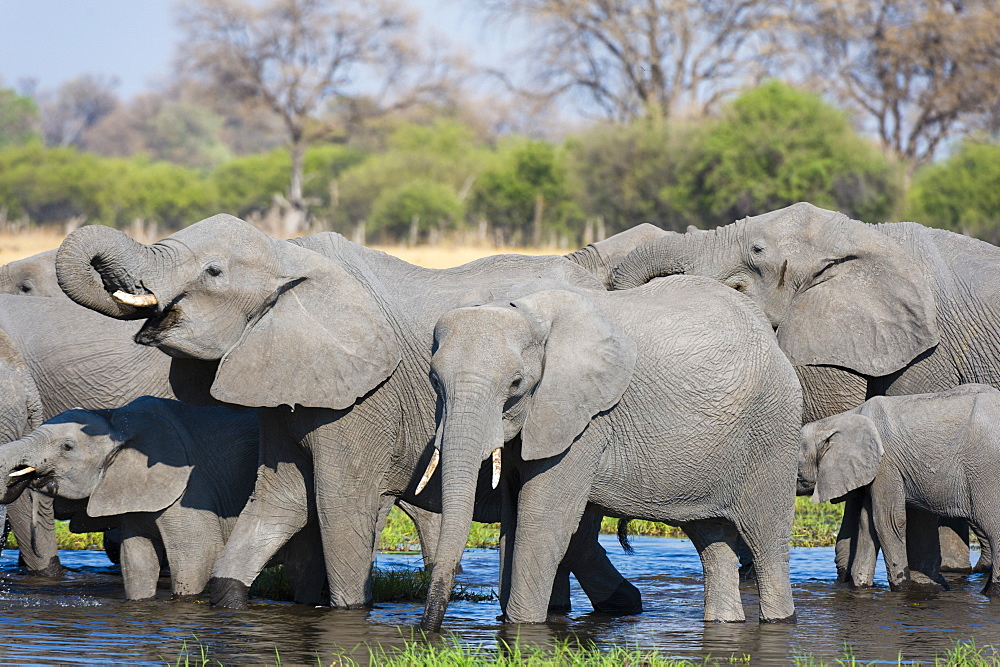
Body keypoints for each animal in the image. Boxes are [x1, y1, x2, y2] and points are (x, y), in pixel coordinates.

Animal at [0, 394, 320, 604]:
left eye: (67, 447)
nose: (21, 477)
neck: (116, 419)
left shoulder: (190, 488)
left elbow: (198, 556)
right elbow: (137, 562)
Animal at [54, 217, 648, 612]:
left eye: (213, 271)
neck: (288, 255)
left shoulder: (364, 399)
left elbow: (340, 506)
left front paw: (345, 614)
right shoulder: (283, 378)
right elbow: (281, 499)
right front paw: (229, 603)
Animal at [796, 384, 1000, 596]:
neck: (838, 420)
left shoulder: (886, 464)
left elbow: (888, 520)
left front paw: (903, 588)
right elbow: (867, 523)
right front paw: (861, 586)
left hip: (986, 472)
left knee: (993, 526)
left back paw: (991, 592)